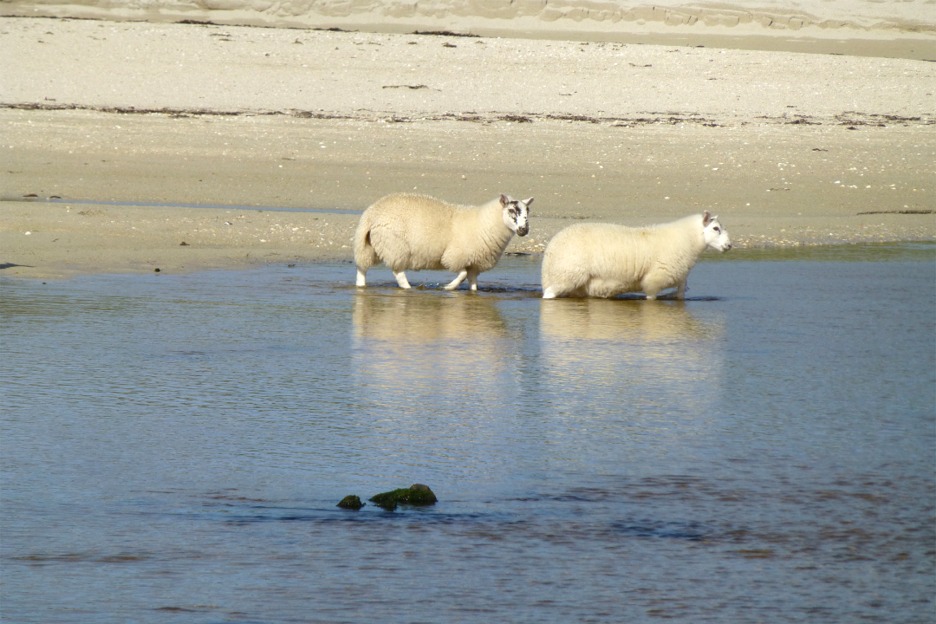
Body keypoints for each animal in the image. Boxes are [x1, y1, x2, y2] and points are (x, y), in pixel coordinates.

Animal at [352, 193, 532, 290]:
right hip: (395, 247)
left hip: (369, 247)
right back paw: (408, 288)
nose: (524, 230)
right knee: (398, 273)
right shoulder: (456, 256)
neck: (485, 223)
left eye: (527, 211)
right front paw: (448, 287)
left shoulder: (474, 262)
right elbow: (462, 274)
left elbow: (472, 282)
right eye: (511, 210)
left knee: (362, 269)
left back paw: (361, 286)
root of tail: (371, 213)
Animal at [540, 211, 732, 302]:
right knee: (549, 295)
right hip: (567, 274)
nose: (729, 246)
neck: (687, 240)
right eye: (716, 228)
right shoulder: (654, 281)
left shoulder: (681, 282)